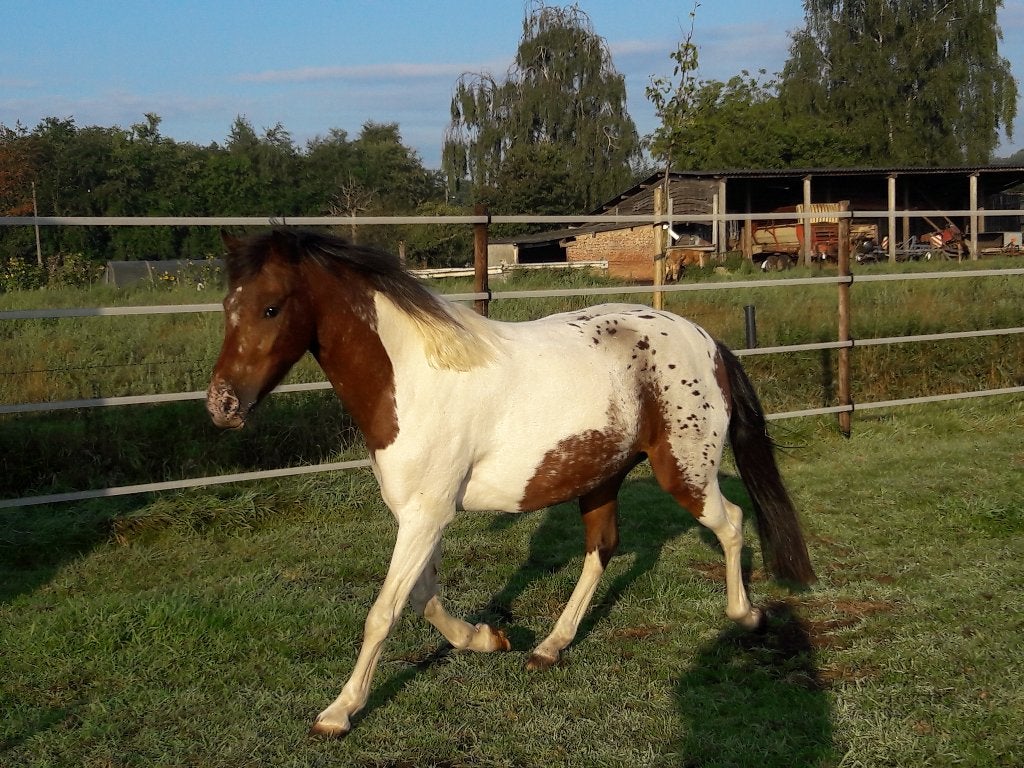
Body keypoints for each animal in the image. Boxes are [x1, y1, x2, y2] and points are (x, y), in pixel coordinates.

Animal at [207, 228, 816, 738]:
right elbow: (423, 598)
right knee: (602, 548)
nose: (222, 408)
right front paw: (486, 638)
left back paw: (748, 616)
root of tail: (706, 341)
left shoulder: (426, 516)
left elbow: (384, 612)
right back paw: (549, 646)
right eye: (226, 307)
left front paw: (338, 712)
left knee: (731, 523)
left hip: (684, 470)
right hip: (601, 476)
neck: (410, 379)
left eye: (270, 307)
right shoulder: (422, 516)